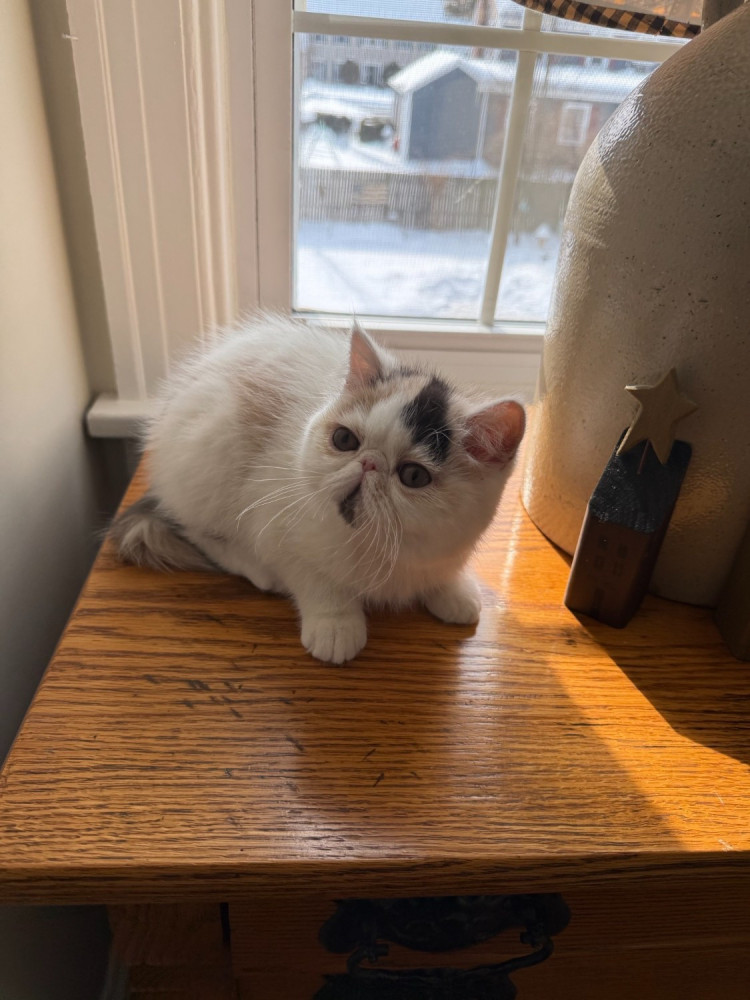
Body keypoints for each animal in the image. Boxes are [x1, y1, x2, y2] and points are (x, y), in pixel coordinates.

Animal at [112, 314, 525, 663]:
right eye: (345, 440)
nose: (368, 463)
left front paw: (453, 590)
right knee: (196, 527)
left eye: (413, 476)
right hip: (210, 445)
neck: (379, 546)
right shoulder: (272, 517)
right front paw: (335, 623)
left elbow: (440, 567)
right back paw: (257, 570)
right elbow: (312, 576)